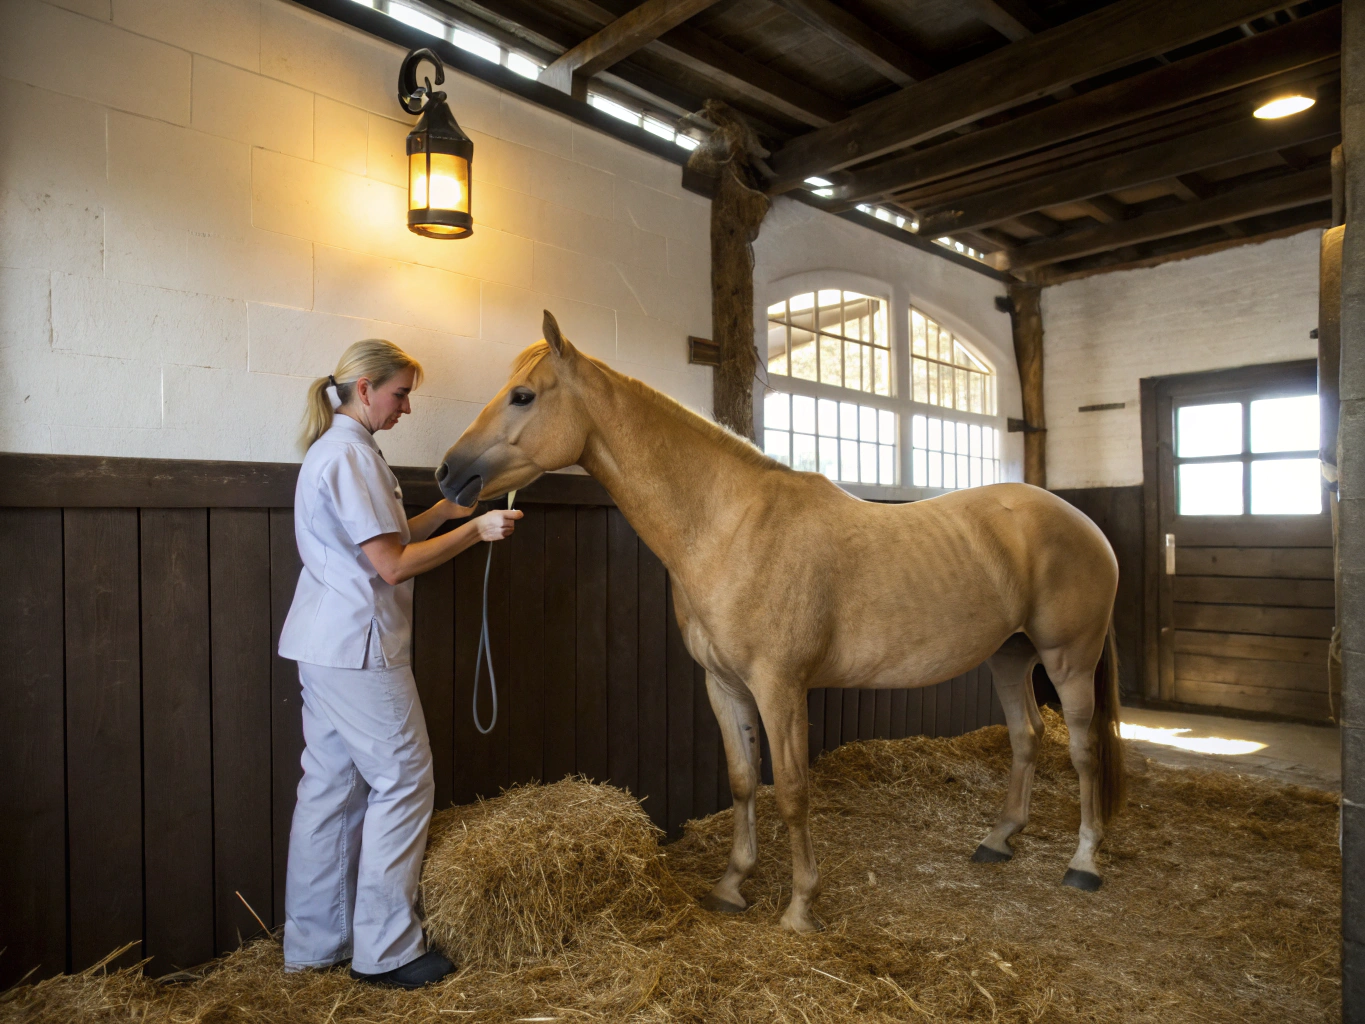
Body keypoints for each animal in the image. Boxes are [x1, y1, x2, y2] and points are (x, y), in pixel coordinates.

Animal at [437, 311, 1124, 934]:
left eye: (523, 396)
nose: (448, 474)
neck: (729, 526)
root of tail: (1083, 523)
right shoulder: (724, 685)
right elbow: (743, 781)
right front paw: (731, 885)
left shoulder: (780, 687)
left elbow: (792, 791)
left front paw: (800, 908)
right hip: (1011, 655)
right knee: (1026, 737)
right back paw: (999, 839)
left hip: (1068, 660)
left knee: (1083, 750)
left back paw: (1084, 863)